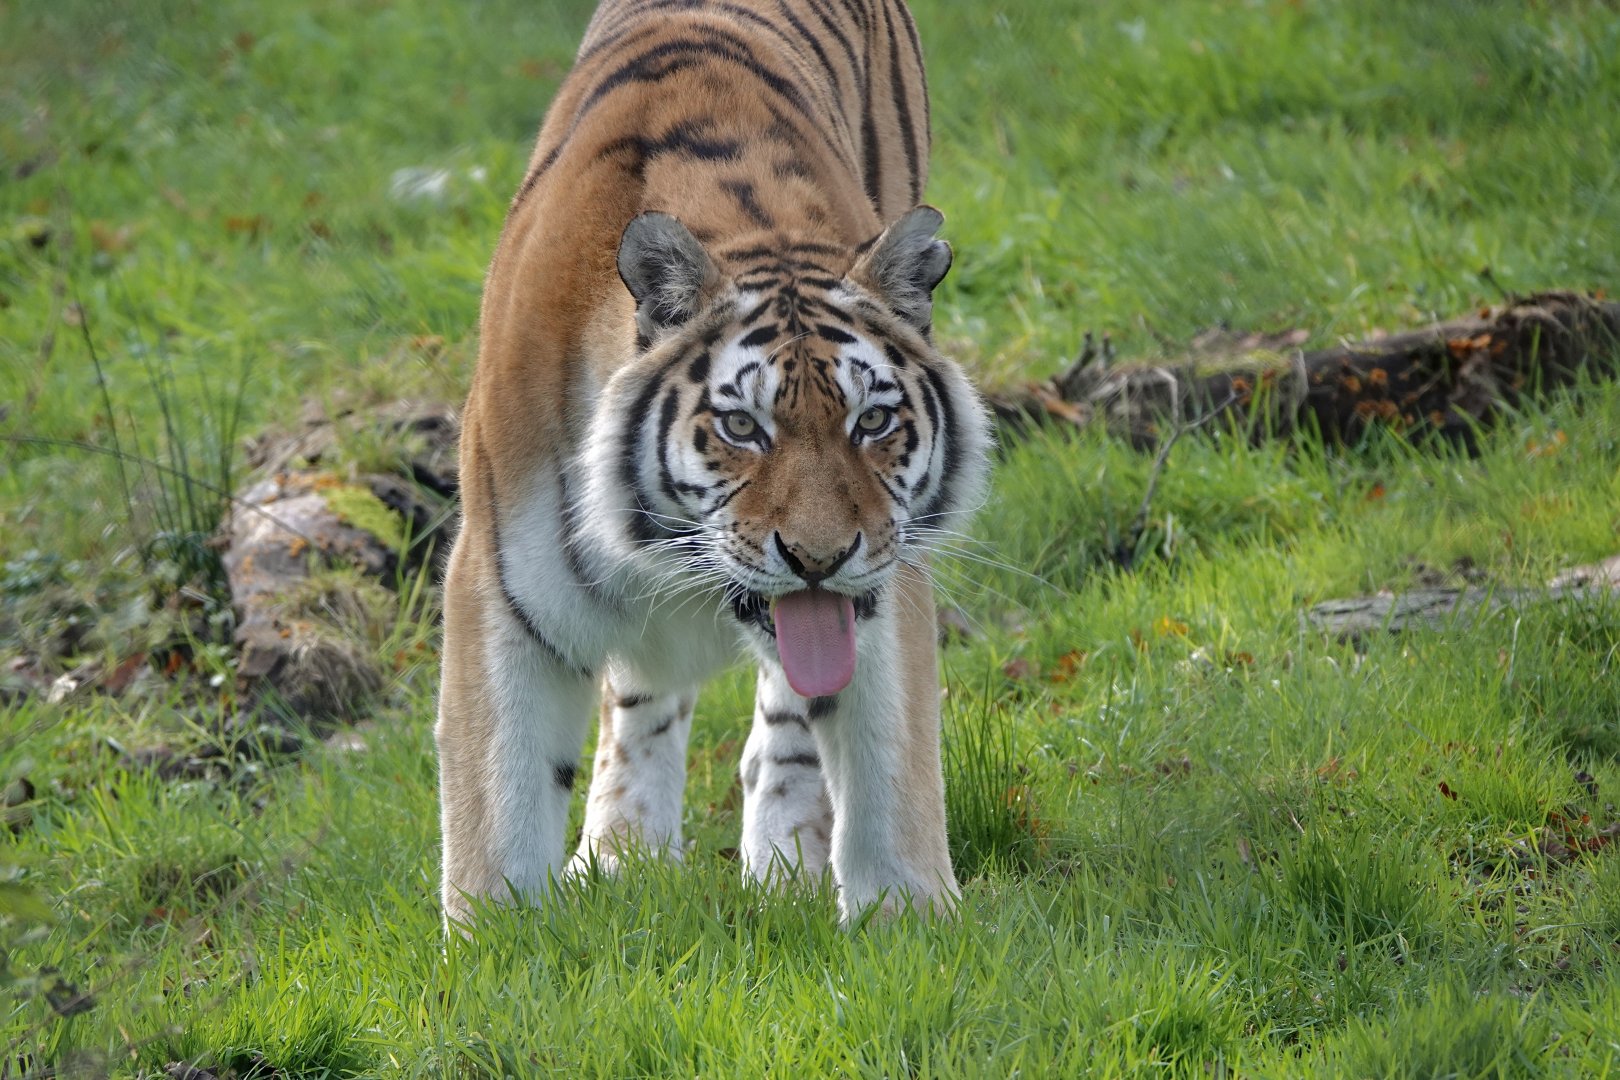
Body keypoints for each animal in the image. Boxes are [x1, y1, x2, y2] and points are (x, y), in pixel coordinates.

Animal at [436, 0, 992, 926]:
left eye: (873, 420)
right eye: (741, 426)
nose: (818, 557)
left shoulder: (888, 575)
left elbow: (890, 761)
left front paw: (910, 921)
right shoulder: (501, 587)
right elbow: (499, 804)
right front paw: (497, 943)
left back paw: (782, 856)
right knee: (639, 701)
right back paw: (622, 852)